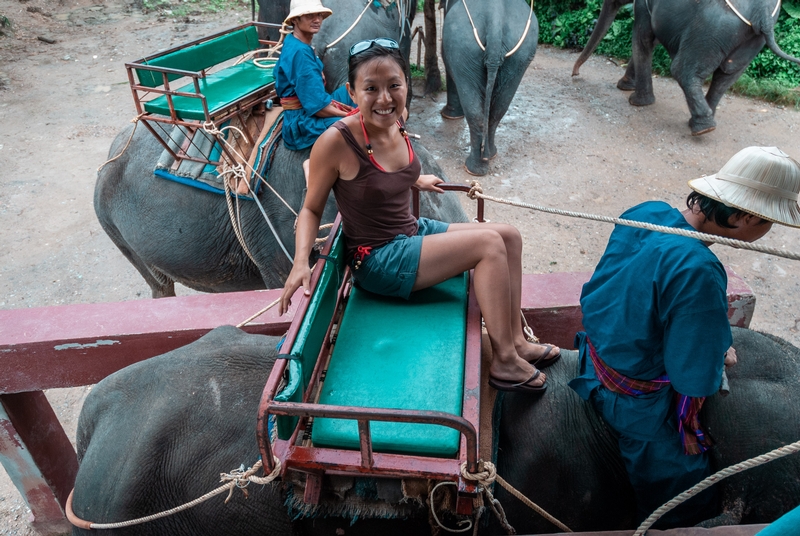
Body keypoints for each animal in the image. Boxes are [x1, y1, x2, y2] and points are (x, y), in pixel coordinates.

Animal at [438, 0, 536, 176]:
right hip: (520, 54)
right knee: (498, 109)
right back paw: (489, 156)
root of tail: (495, 18)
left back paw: (474, 169)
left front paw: (449, 115)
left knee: (475, 111)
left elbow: (446, 60)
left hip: (462, 45)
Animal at [572, 0, 800, 135]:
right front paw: (625, 86)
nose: (575, 74)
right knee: (727, 75)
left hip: (712, 25)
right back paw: (703, 122)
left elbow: (643, 37)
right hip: (750, 38)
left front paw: (635, 101)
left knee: (682, 70)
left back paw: (703, 129)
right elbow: (650, 41)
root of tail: (763, 12)